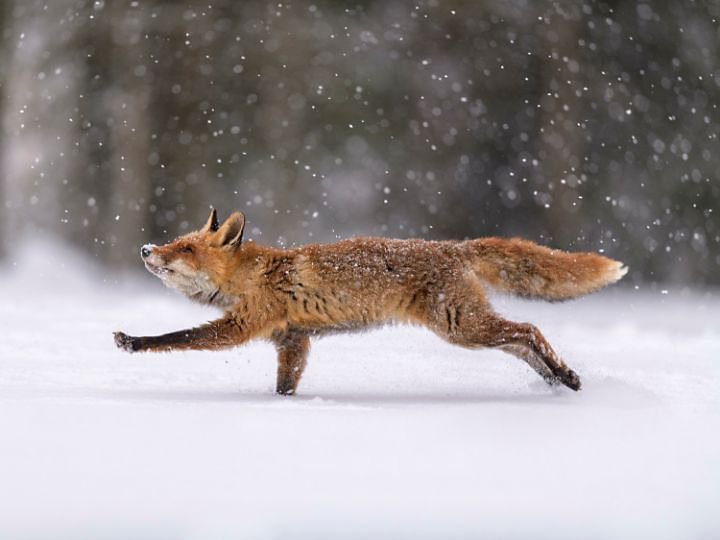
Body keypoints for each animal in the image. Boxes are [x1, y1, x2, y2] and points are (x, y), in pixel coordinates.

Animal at [114, 209, 627, 395]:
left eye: (184, 249)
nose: (145, 249)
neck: (254, 275)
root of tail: (453, 247)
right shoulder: (293, 341)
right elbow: (285, 385)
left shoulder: (243, 325)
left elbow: (179, 337)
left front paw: (133, 341)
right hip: (468, 328)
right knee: (520, 342)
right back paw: (558, 379)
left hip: (459, 326)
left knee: (529, 330)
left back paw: (564, 376)